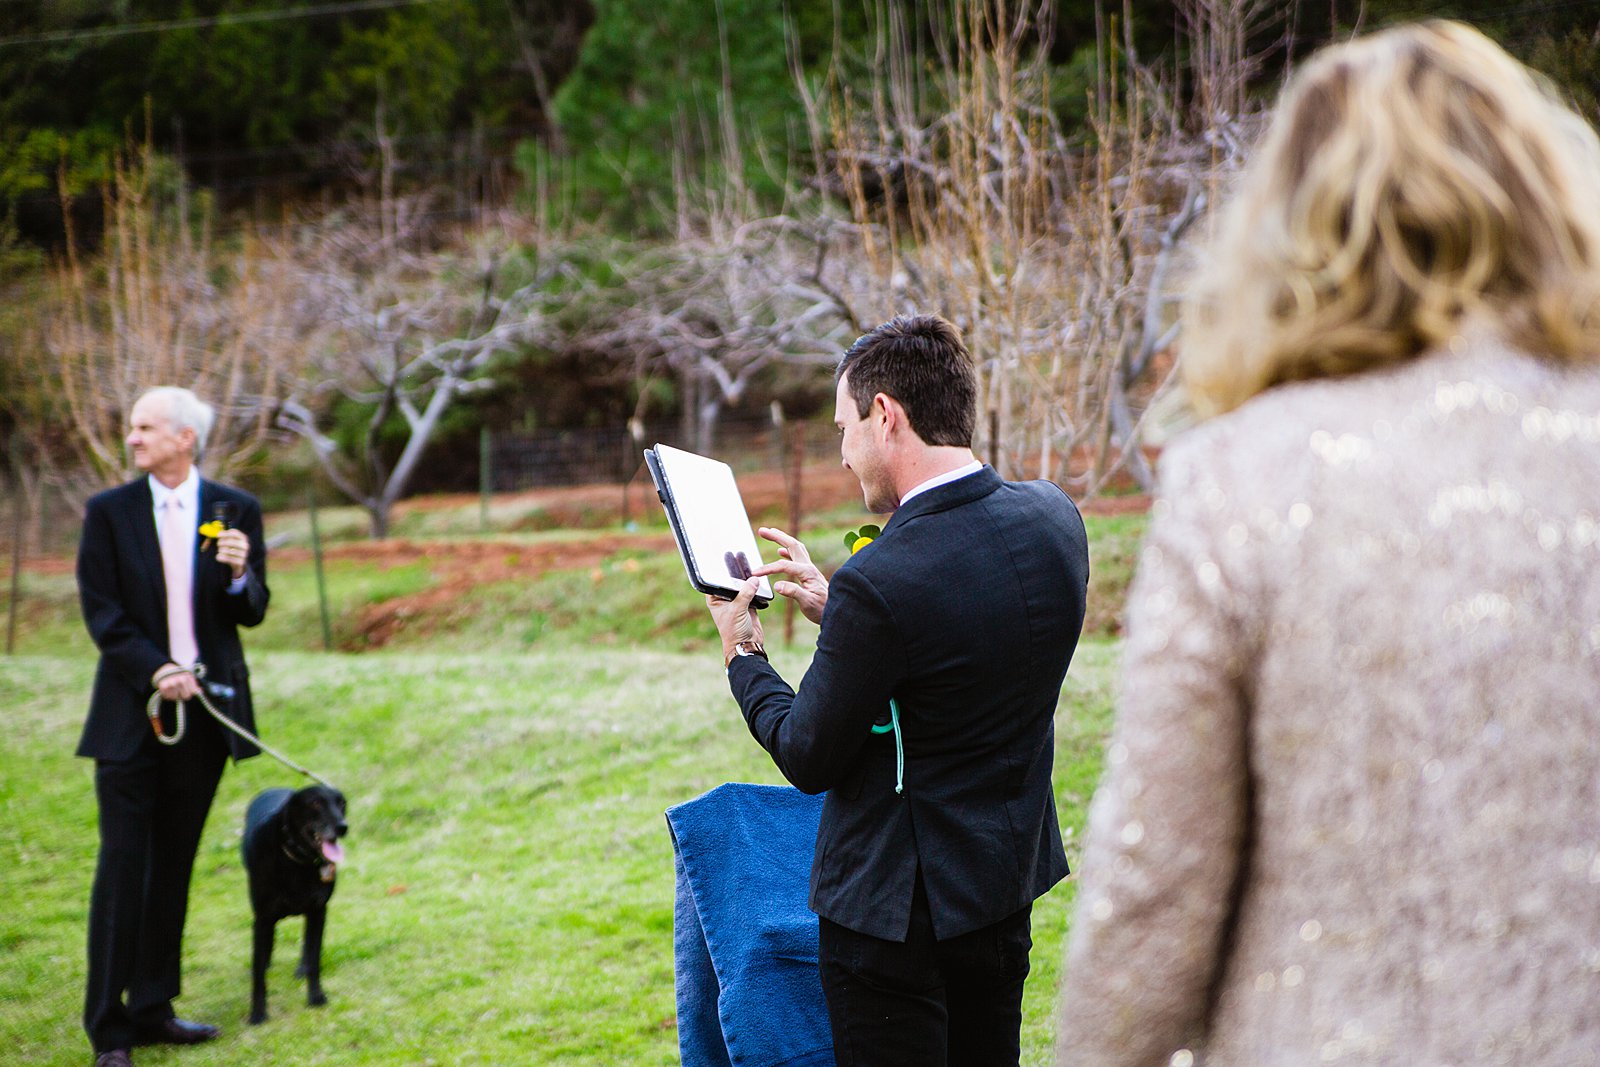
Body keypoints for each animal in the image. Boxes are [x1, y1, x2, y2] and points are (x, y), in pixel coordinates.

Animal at [240, 783, 347, 1023]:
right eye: (315, 803)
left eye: (341, 803)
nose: (343, 827)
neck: (297, 860)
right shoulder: (262, 918)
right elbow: (257, 972)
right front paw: (258, 1014)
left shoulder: (318, 911)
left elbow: (314, 959)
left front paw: (316, 997)